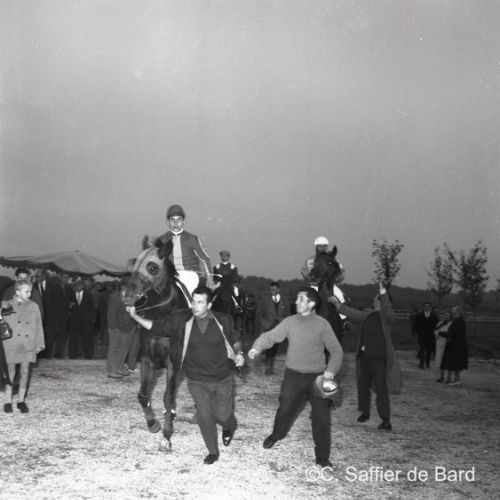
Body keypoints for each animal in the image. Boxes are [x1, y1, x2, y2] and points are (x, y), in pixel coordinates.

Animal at [121, 239, 185, 452]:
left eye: (152, 267)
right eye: (133, 263)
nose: (127, 294)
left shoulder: (173, 362)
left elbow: (168, 398)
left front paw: (167, 436)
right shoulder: (148, 358)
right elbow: (143, 395)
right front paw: (153, 423)